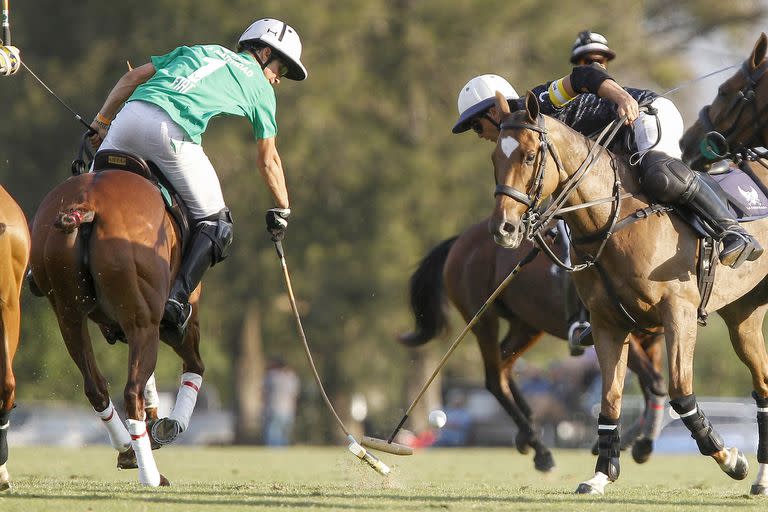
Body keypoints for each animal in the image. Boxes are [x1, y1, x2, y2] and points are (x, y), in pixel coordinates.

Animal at [29, 165, 206, 488]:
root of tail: (86, 207)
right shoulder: (177, 321)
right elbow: (194, 365)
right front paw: (171, 424)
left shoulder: (117, 327)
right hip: (145, 321)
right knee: (132, 391)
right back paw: (150, 474)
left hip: (68, 317)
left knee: (95, 386)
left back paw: (127, 448)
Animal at [402, 219, 664, 472]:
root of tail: (461, 239)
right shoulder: (614, 330)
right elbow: (654, 383)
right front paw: (642, 445)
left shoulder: (652, 340)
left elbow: (651, 387)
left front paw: (629, 443)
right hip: (484, 320)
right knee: (494, 378)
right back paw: (541, 450)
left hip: (526, 325)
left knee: (504, 365)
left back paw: (527, 432)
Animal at [488, 50, 768, 494]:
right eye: (495, 158)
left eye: (529, 156)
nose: (504, 229)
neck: (611, 218)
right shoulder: (608, 323)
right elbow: (610, 400)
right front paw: (602, 473)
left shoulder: (679, 313)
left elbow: (681, 392)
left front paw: (730, 459)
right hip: (744, 316)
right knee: (762, 385)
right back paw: (762, 477)